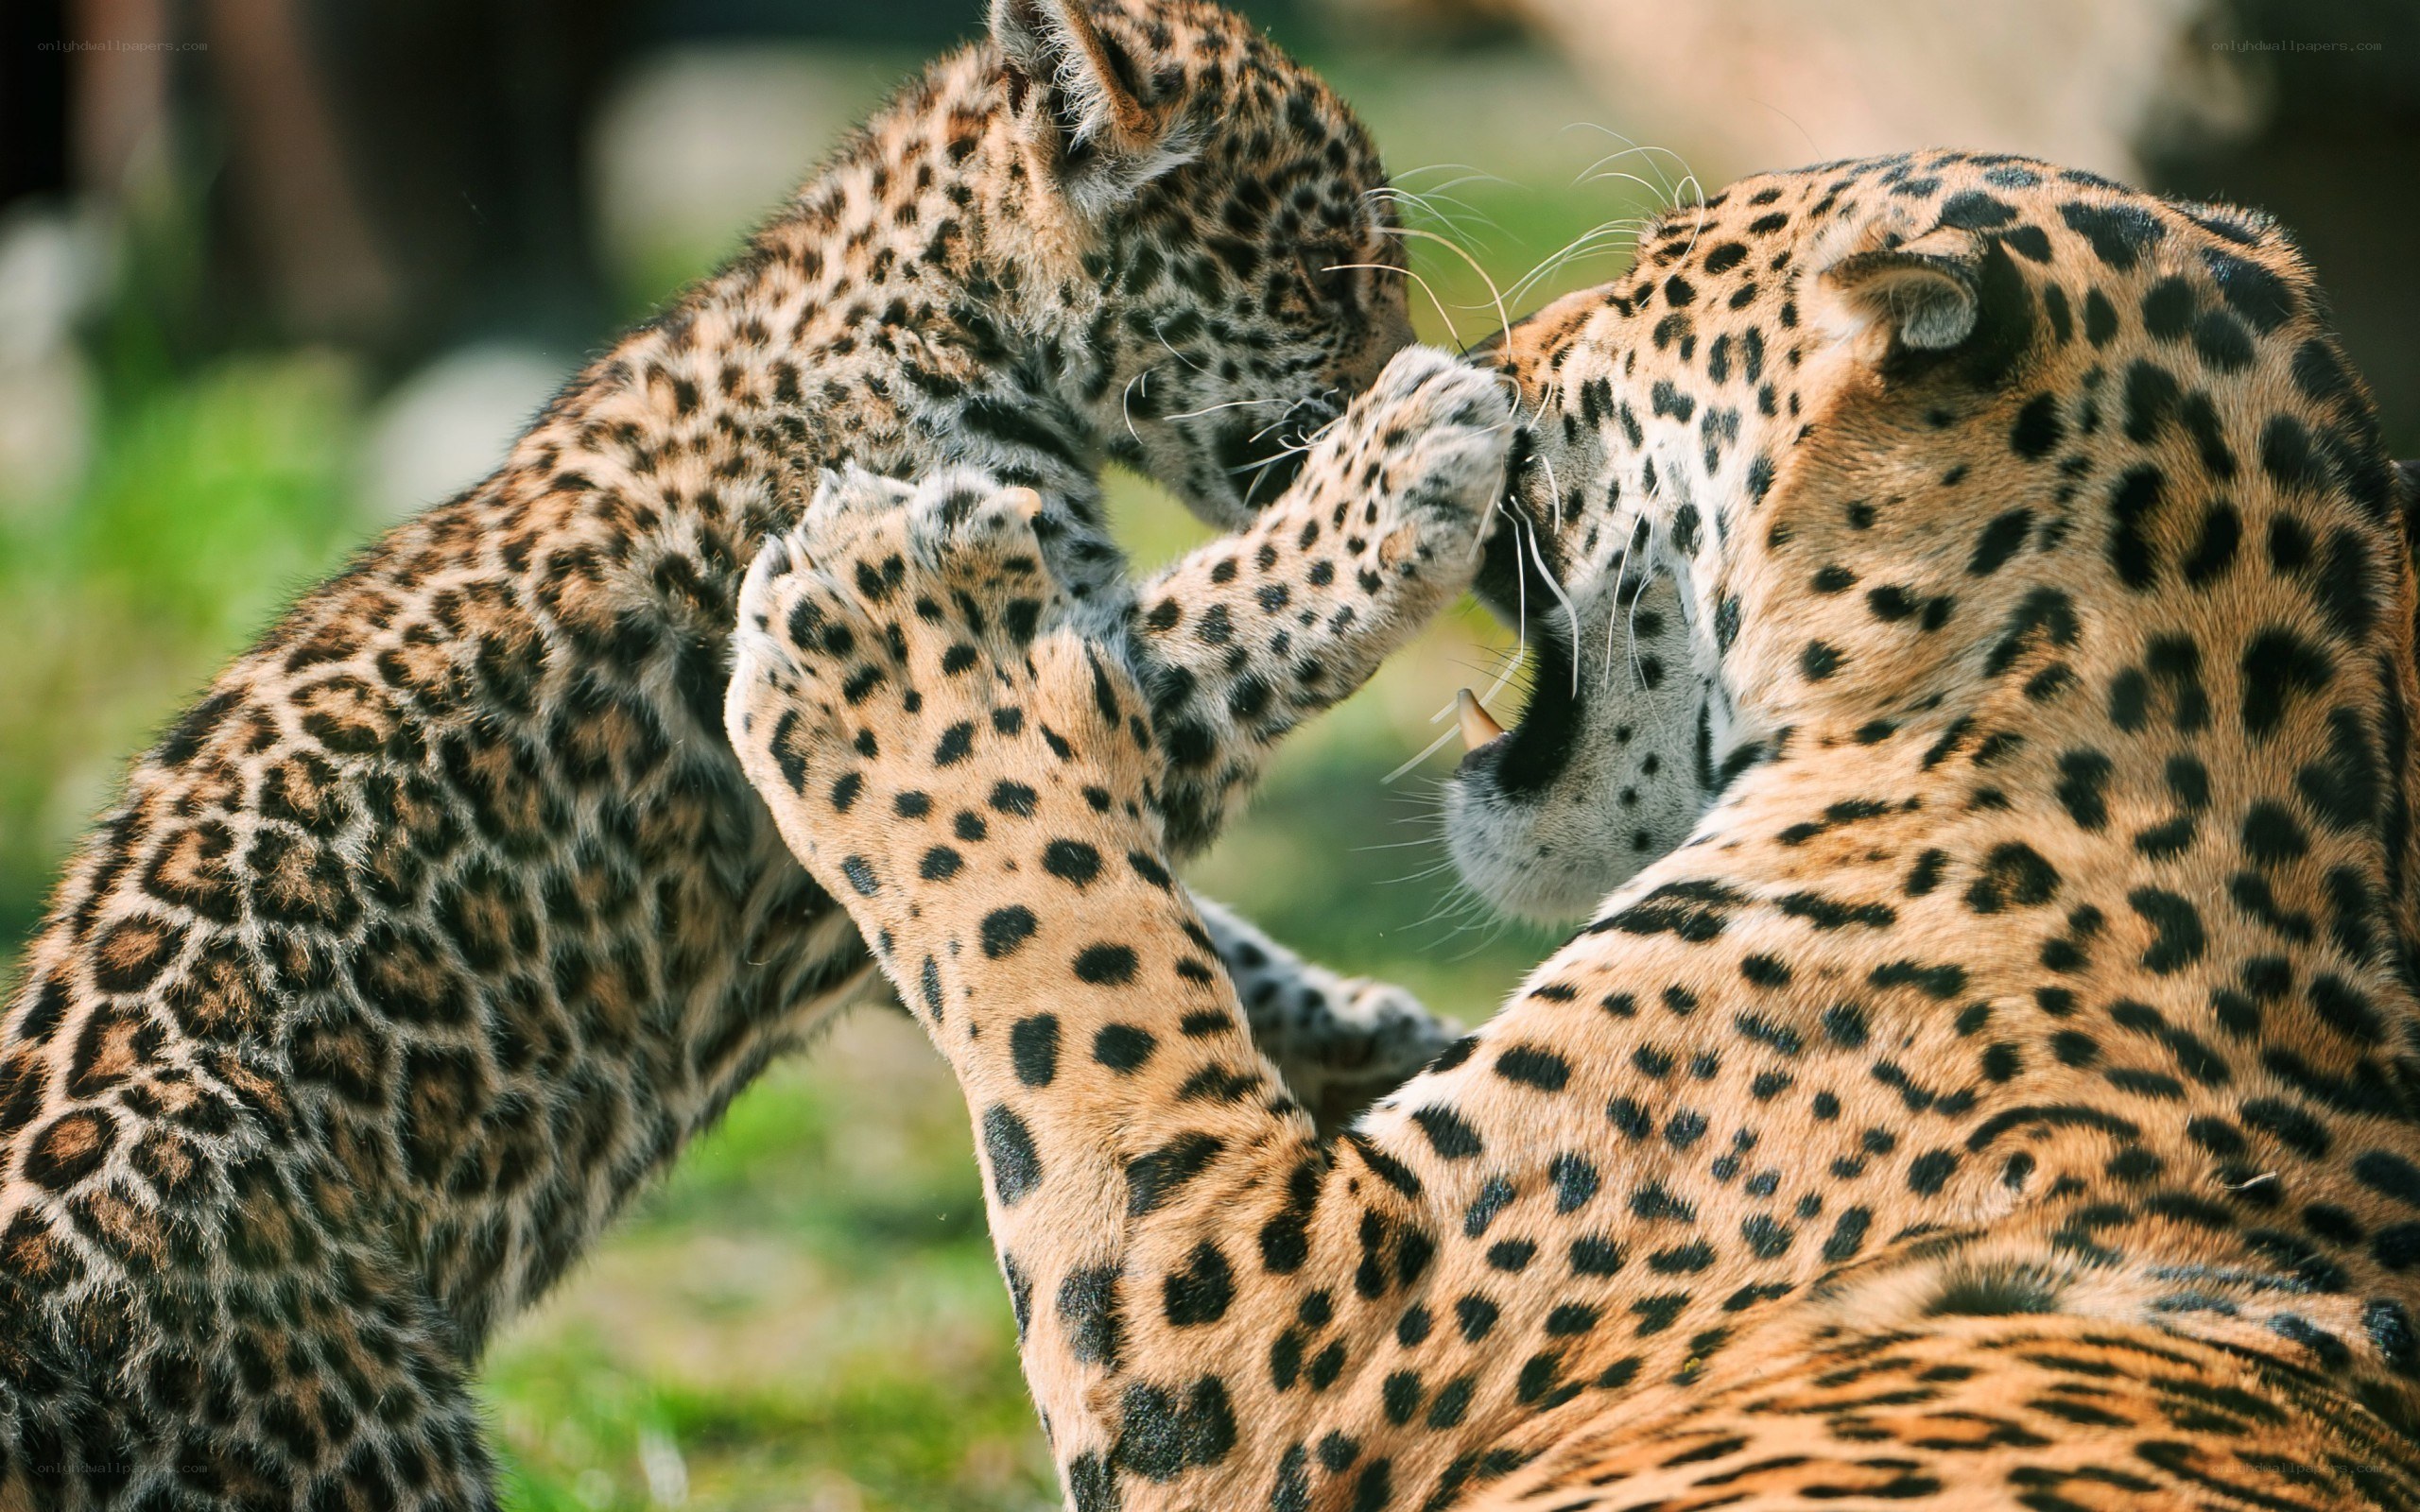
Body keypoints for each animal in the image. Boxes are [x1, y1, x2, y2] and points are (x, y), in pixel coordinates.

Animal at [0, 2, 1509, 1504]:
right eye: (1330, 279)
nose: (1406, 362)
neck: (937, 310)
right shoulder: (1032, 672)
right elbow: (1219, 631)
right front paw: (1400, 461)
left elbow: (1119, 924)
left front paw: (1374, 1034)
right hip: (357, 1437)